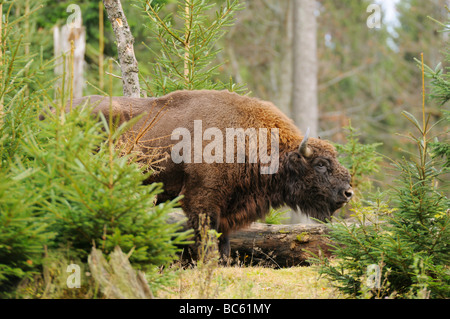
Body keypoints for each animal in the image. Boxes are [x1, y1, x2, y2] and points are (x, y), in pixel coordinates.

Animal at [68, 90, 354, 260]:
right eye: (320, 164)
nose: (348, 192)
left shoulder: (225, 208)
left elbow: (224, 243)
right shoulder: (202, 202)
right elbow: (208, 241)